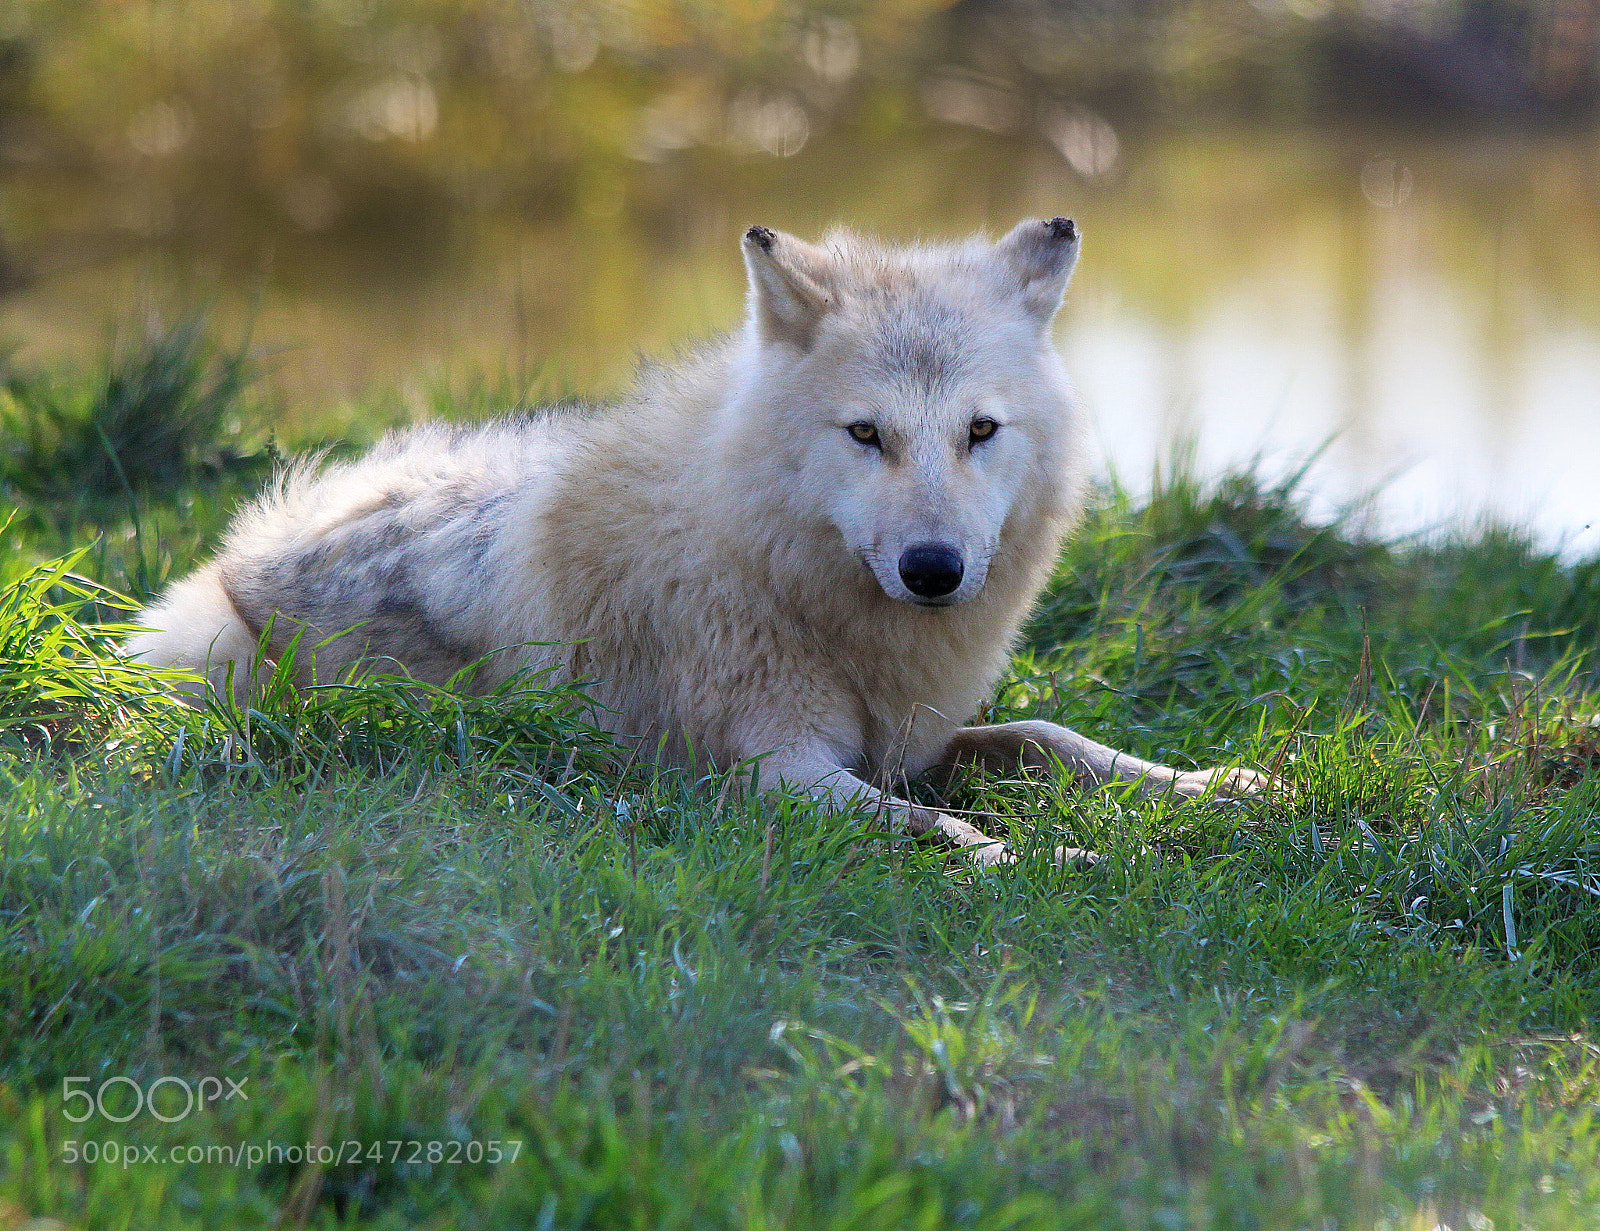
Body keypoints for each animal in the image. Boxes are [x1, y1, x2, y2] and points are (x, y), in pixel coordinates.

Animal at [126, 217, 1268, 864]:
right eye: (867, 434)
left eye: (980, 431)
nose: (934, 571)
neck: (777, 575)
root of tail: (248, 545)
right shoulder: (778, 771)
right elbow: (943, 831)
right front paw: (1046, 859)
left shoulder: (919, 742)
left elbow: (1053, 738)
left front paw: (1224, 786)